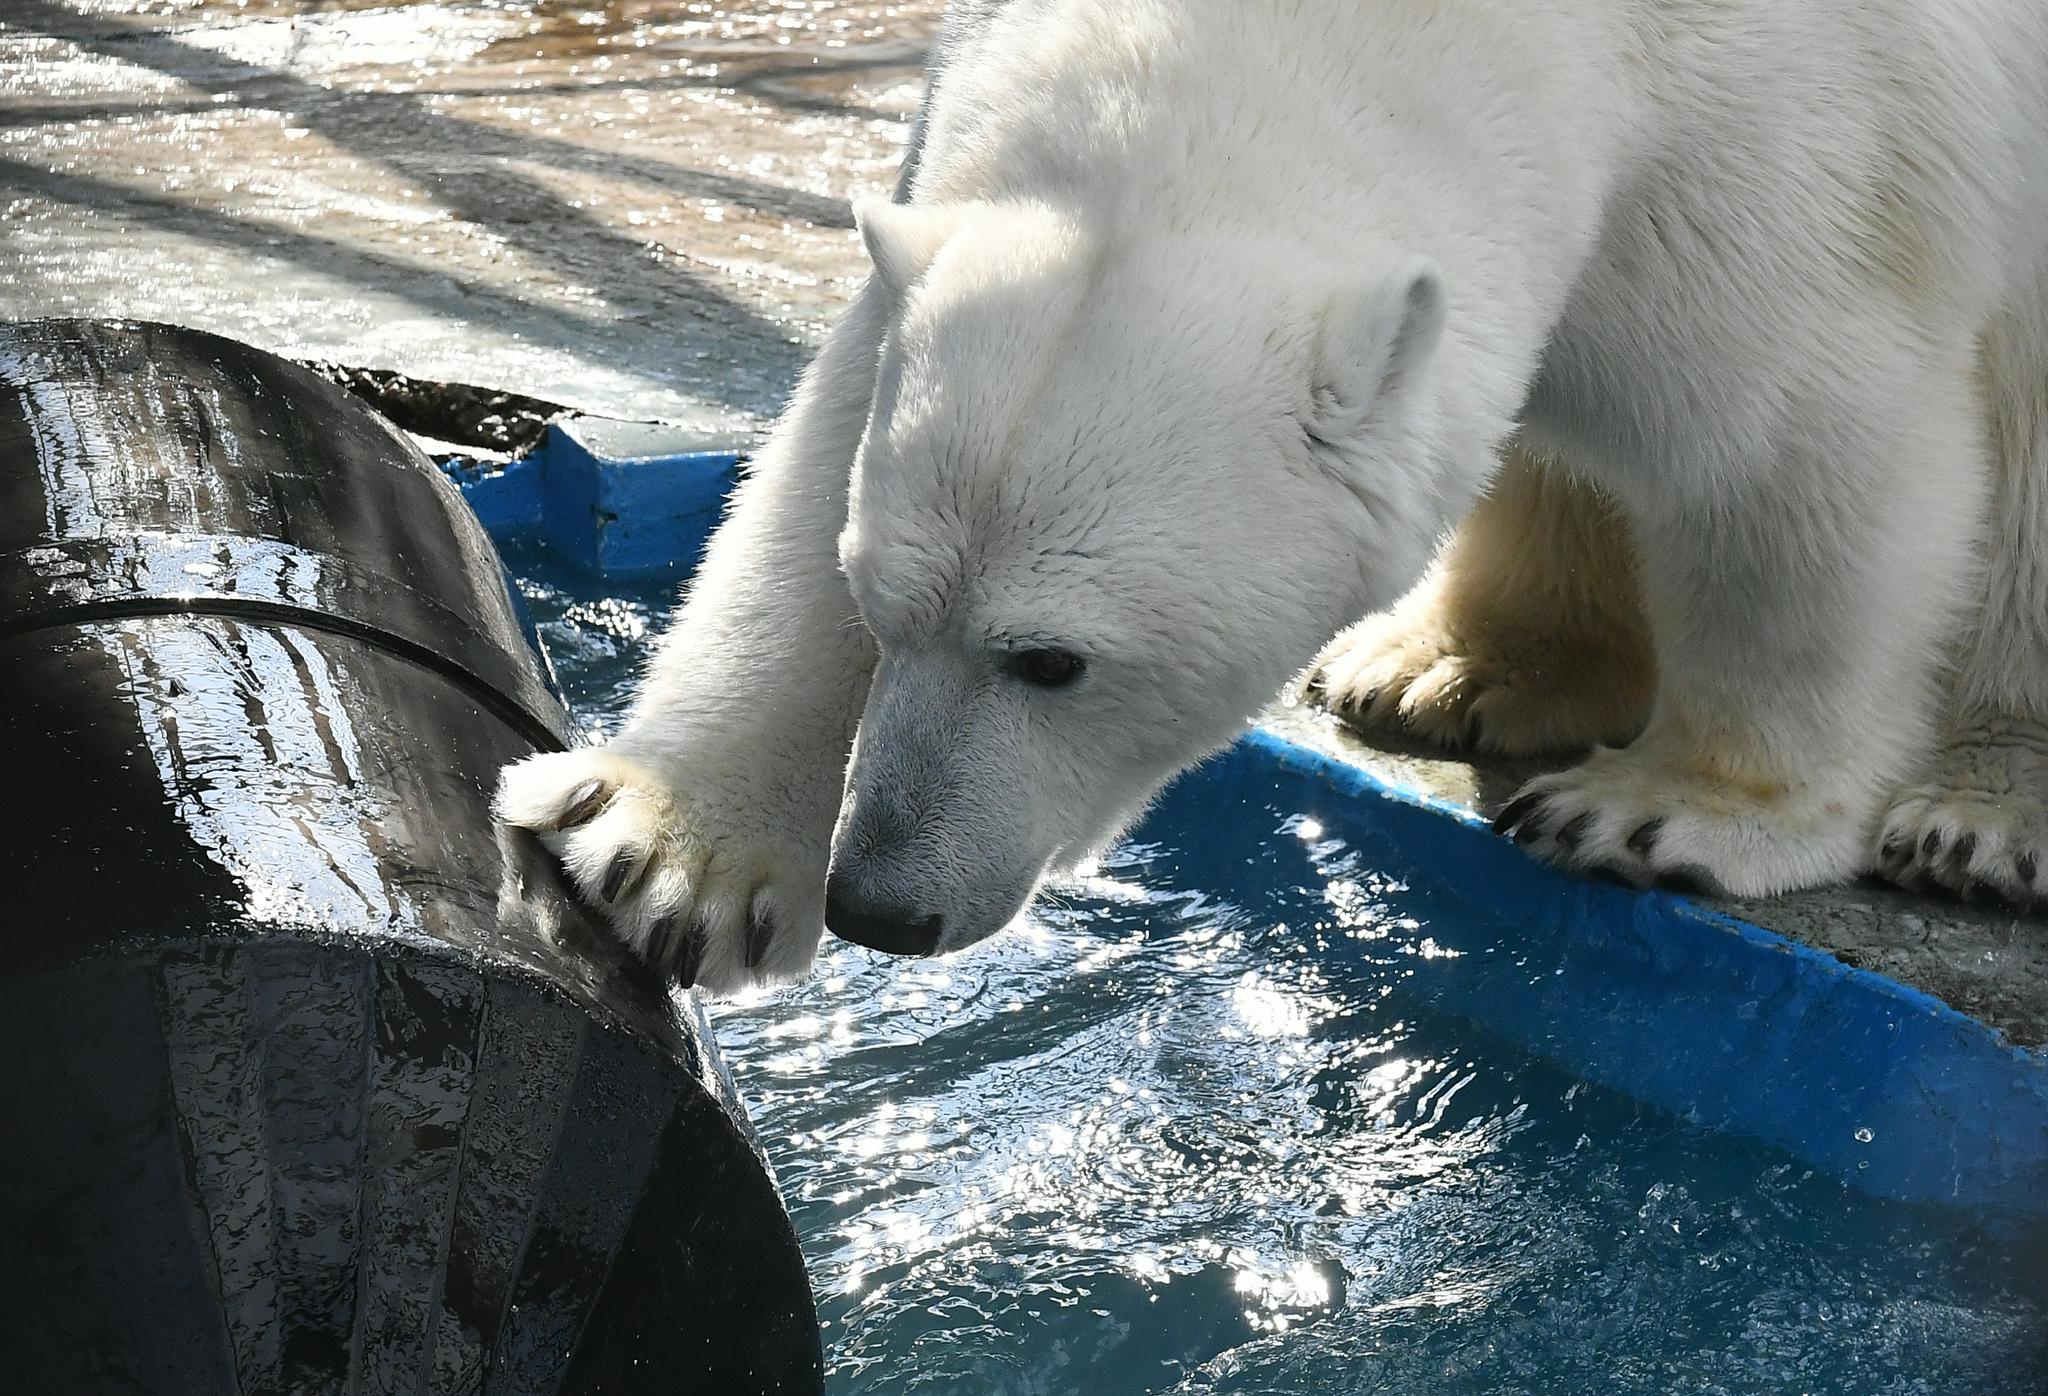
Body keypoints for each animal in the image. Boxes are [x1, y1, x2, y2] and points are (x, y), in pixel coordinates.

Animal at [496, 0, 2048, 991]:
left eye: (1051, 660)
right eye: (882, 609)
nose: (879, 901)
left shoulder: (1801, 141)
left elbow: (1794, 451)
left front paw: (1671, 811)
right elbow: (829, 427)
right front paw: (662, 854)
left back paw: (1982, 814)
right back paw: (1453, 669)